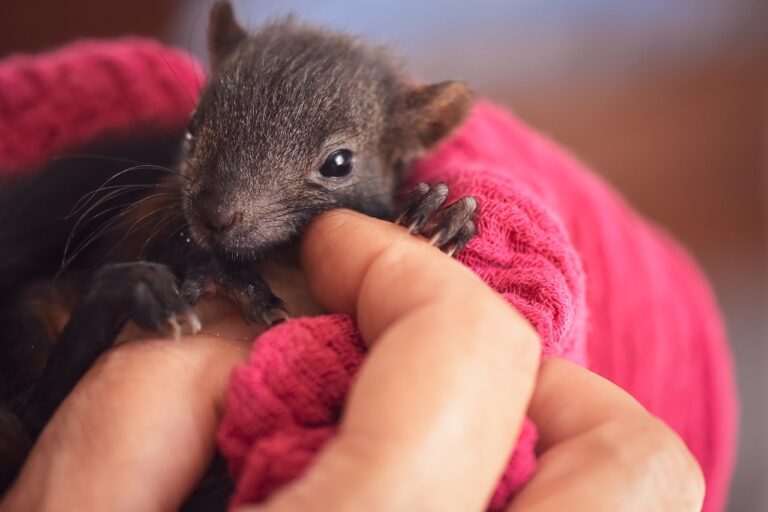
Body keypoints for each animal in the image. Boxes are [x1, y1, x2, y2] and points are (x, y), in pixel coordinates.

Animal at [0, 0, 478, 502]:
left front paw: (439, 212)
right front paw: (222, 273)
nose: (214, 214)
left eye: (339, 163)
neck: (281, 256)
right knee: (34, 408)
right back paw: (133, 290)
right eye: (192, 129)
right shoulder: (145, 220)